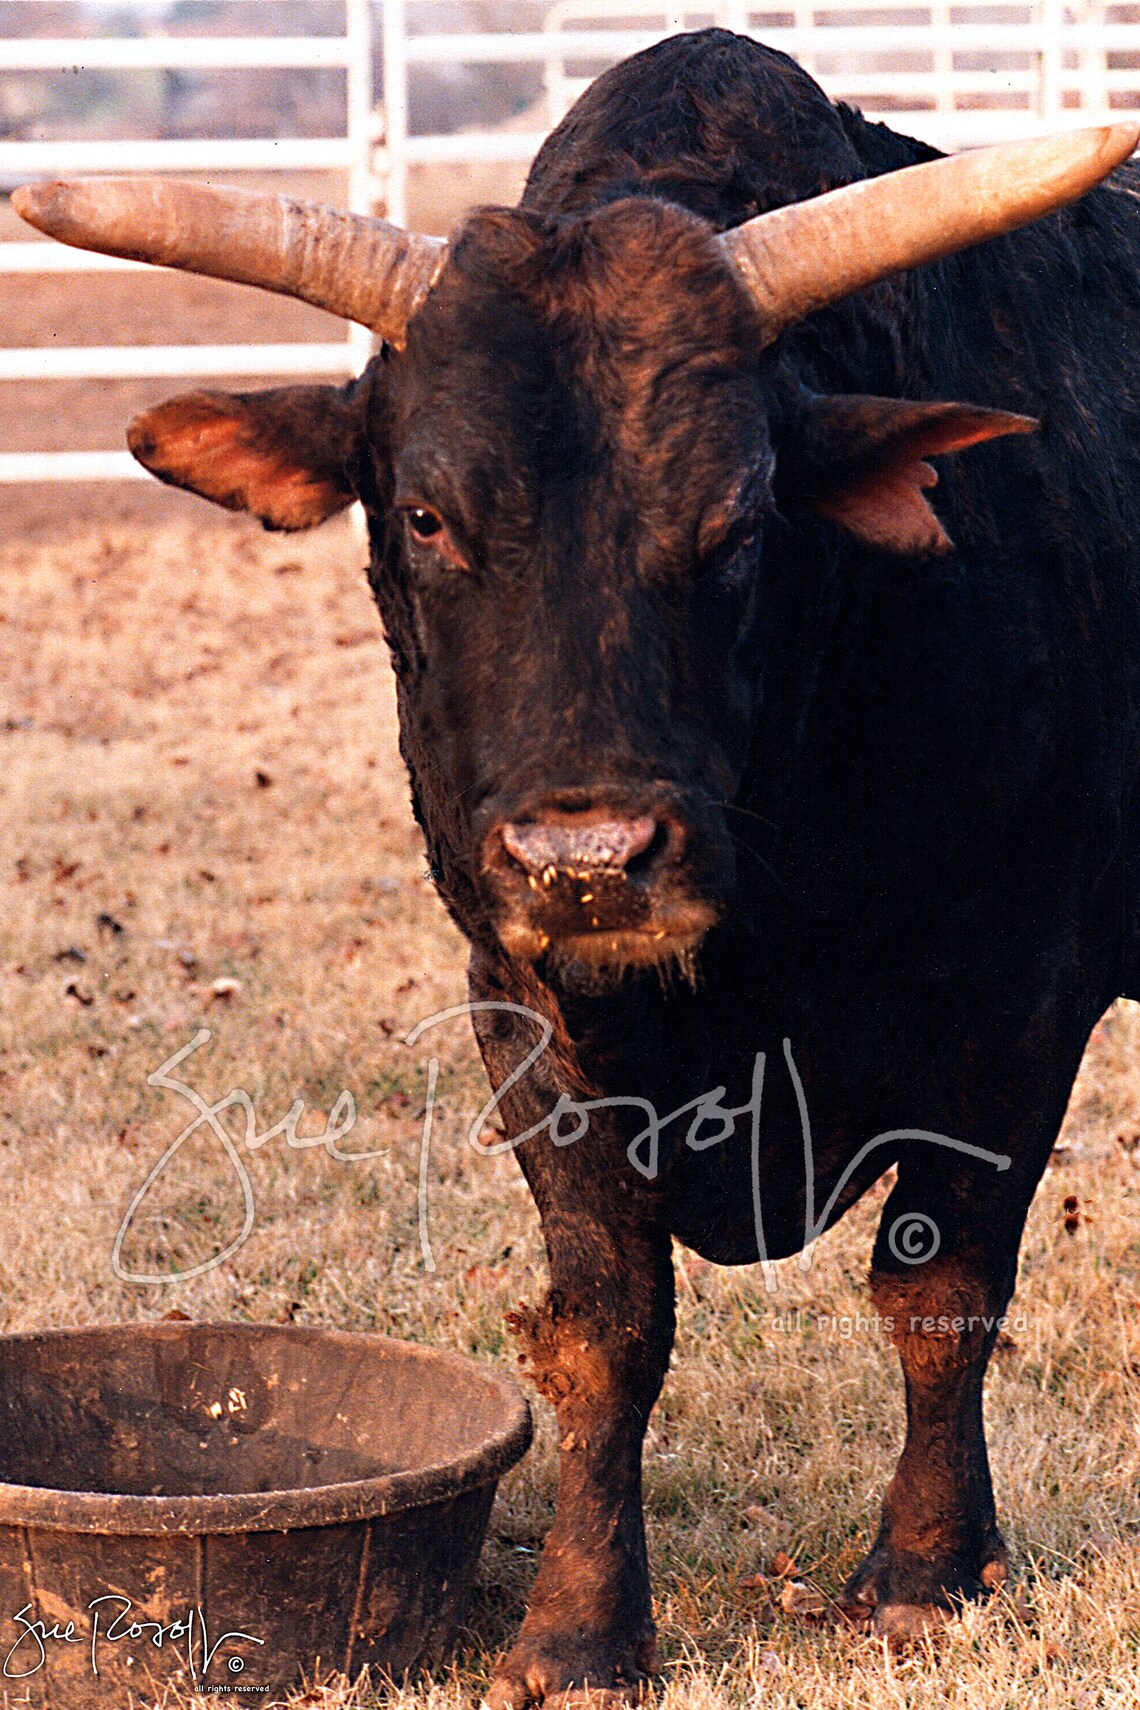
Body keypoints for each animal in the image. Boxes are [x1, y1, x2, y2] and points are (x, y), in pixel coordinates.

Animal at [15, 28, 1140, 1706]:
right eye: (426, 514)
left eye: (740, 519)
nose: (590, 857)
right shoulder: (526, 1000)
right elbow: (608, 1323)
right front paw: (580, 1625)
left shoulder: (1015, 1001)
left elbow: (939, 1284)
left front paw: (926, 1569)